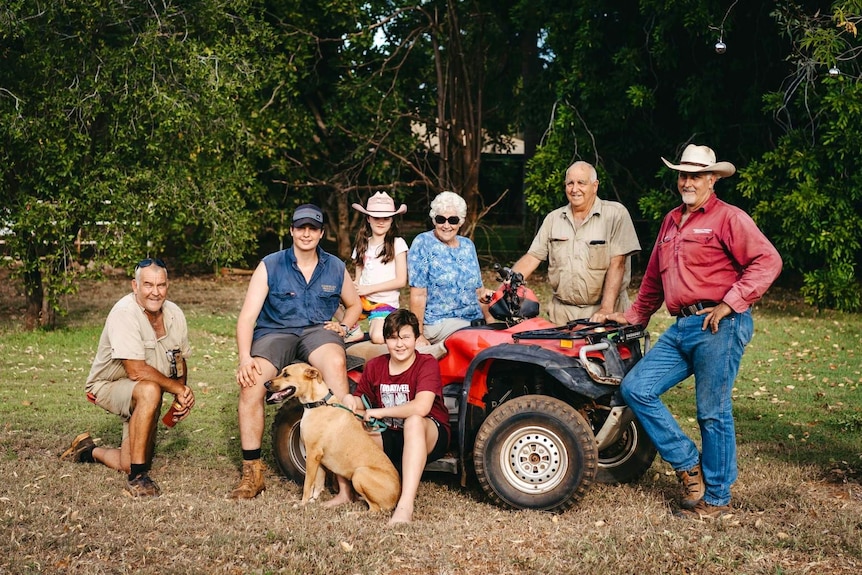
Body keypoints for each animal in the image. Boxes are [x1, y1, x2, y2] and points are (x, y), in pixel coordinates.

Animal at [266, 364, 402, 512]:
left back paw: (352, 513)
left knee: (374, 510)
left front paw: (302, 503)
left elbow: (308, 484)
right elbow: (318, 483)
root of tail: (397, 497)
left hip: (359, 474)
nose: (266, 384)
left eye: (286, 374)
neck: (318, 402)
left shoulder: (312, 454)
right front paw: (313, 501)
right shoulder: (317, 457)